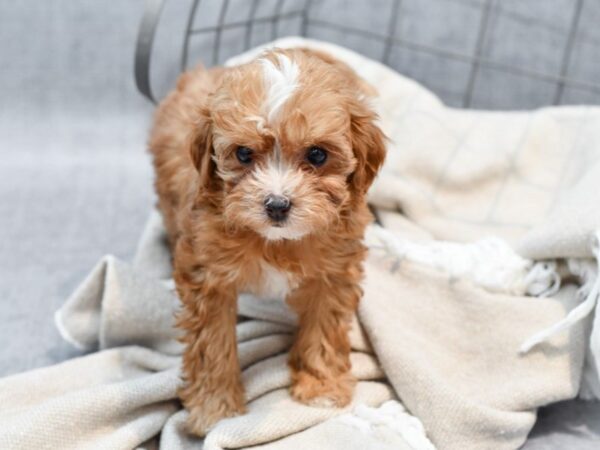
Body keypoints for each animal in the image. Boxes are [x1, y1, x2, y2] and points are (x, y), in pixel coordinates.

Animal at [148, 47, 386, 434]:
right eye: (244, 154)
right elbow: (212, 344)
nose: (277, 204)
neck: (277, 241)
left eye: (317, 155)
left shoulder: (334, 269)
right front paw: (215, 407)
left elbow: (324, 325)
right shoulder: (208, 276)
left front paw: (321, 385)